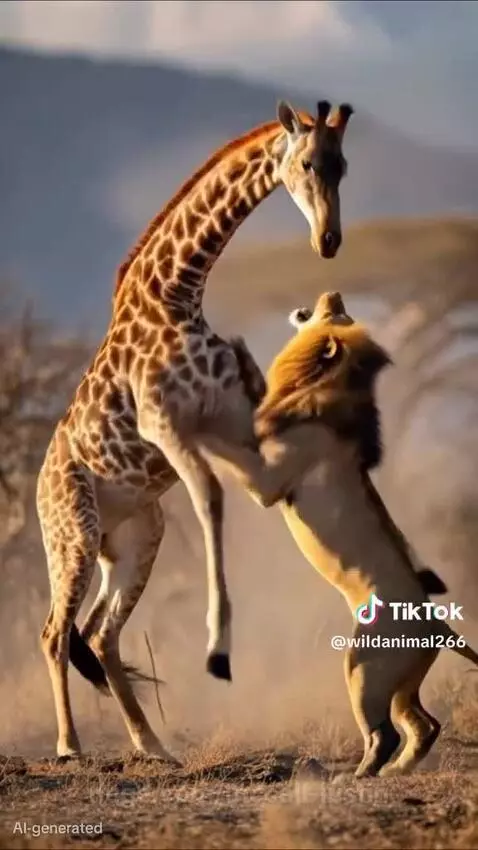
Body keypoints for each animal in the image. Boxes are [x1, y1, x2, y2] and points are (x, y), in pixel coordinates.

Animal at [36, 99, 353, 760]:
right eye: (307, 164)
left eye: (343, 166)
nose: (328, 241)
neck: (178, 291)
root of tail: (36, 493)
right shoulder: (162, 422)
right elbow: (211, 499)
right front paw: (218, 638)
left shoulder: (232, 415)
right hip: (72, 535)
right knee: (55, 632)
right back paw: (70, 746)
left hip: (136, 537)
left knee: (99, 636)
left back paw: (152, 745)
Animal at [196, 291, 478, 778]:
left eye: (337, 315)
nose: (334, 294)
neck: (319, 381)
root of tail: (438, 624)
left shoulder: (268, 482)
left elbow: (226, 446)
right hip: (400, 682)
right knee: (423, 725)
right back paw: (394, 771)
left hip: (364, 667)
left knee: (385, 733)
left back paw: (360, 773)